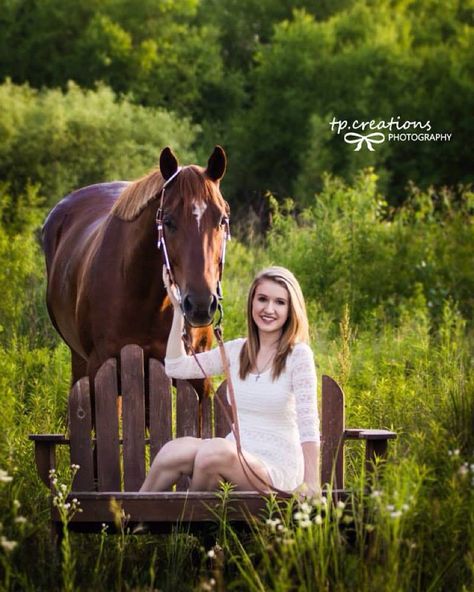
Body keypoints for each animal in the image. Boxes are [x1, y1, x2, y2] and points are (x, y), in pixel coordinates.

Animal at [43, 147, 230, 388]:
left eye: (222, 220)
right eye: (168, 221)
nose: (200, 304)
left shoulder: (198, 375)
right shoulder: (100, 369)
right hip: (80, 361)